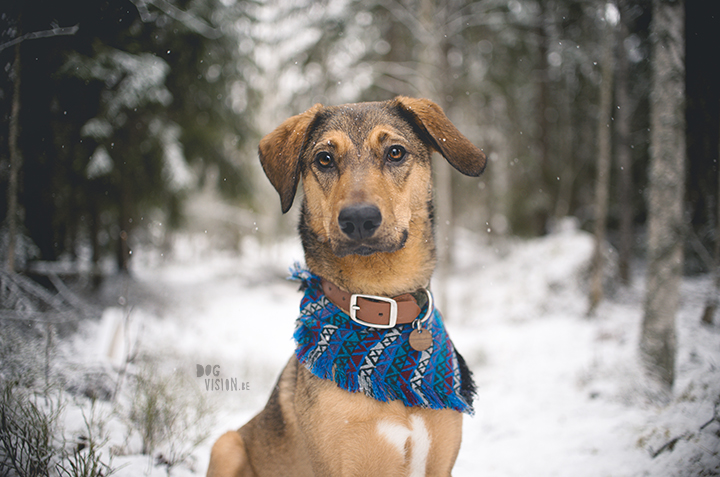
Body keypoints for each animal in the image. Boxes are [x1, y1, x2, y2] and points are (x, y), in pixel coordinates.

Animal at [211, 95, 486, 474]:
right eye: (324, 159)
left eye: (395, 152)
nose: (358, 219)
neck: (381, 302)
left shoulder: (440, 464)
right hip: (226, 444)